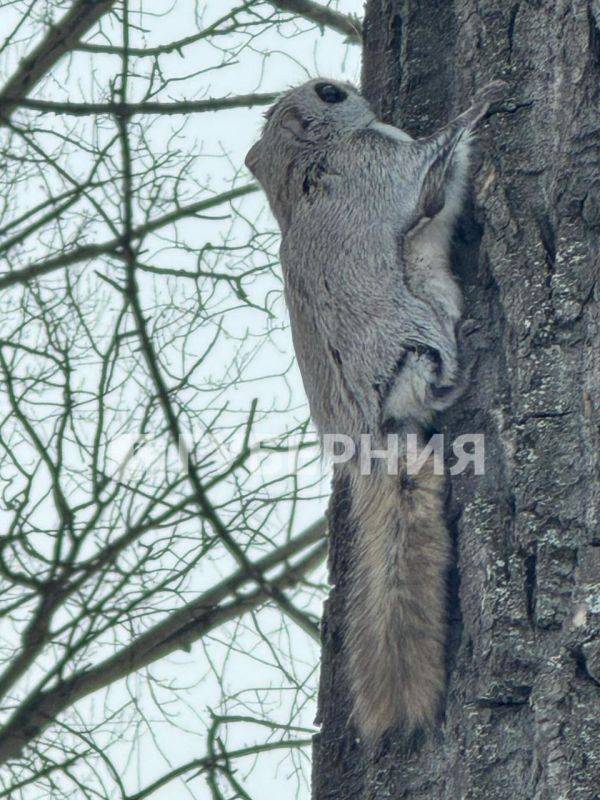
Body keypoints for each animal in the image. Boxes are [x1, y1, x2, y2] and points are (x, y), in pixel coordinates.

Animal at [244, 78, 506, 740]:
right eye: (329, 95)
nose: (350, 84)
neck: (304, 171)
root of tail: (370, 441)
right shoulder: (382, 168)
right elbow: (432, 172)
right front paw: (480, 105)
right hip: (415, 337)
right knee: (436, 379)